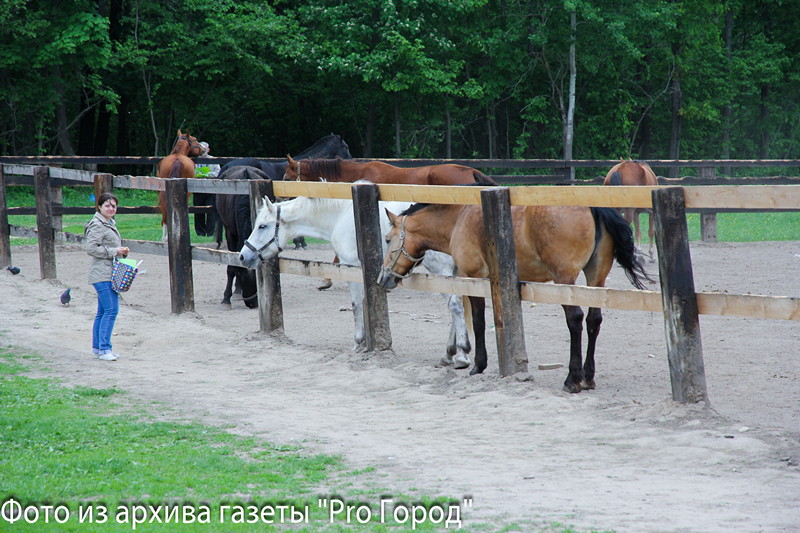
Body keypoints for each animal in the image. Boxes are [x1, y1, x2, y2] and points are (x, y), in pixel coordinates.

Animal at [241, 193, 472, 368]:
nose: (243, 256)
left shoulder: (350, 266)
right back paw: (450, 354)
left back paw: (461, 354)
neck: (341, 216)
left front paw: (358, 343)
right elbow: (364, 303)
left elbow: (355, 305)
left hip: (440, 270)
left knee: (455, 305)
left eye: (262, 226)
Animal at [378, 200, 652, 390]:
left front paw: (477, 364)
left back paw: (573, 379)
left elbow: (478, 322)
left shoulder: (474, 278)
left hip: (565, 280)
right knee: (594, 320)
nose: (383, 278)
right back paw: (588, 377)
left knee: (575, 320)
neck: (459, 219)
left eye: (388, 239)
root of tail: (593, 207)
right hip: (596, 280)